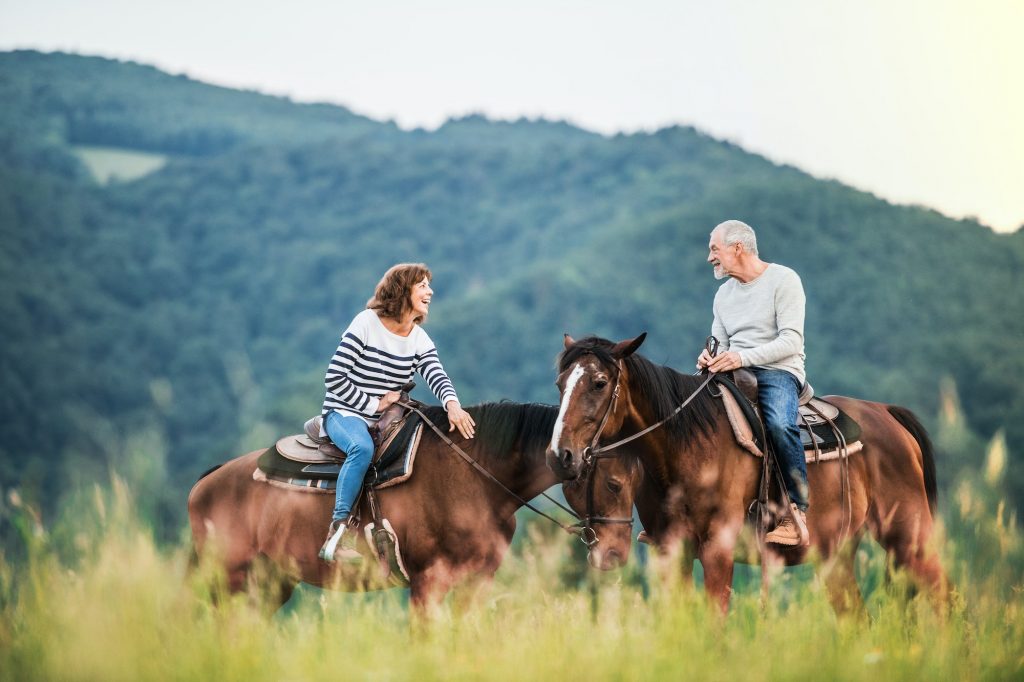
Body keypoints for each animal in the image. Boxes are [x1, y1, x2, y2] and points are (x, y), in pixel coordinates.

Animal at [188, 401, 585, 606]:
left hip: (270, 583)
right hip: (230, 581)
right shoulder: (428, 581)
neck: (477, 477)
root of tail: (206, 482)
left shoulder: (476, 583)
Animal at [548, 333, 946, 610]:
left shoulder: (717, 550)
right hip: (836, 557)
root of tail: (886, 412)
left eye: (599, 382)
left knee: (944, 597)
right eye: (560, 383)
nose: (560, 454)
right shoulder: (670, 551)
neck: (684, 447)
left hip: (910, 539)